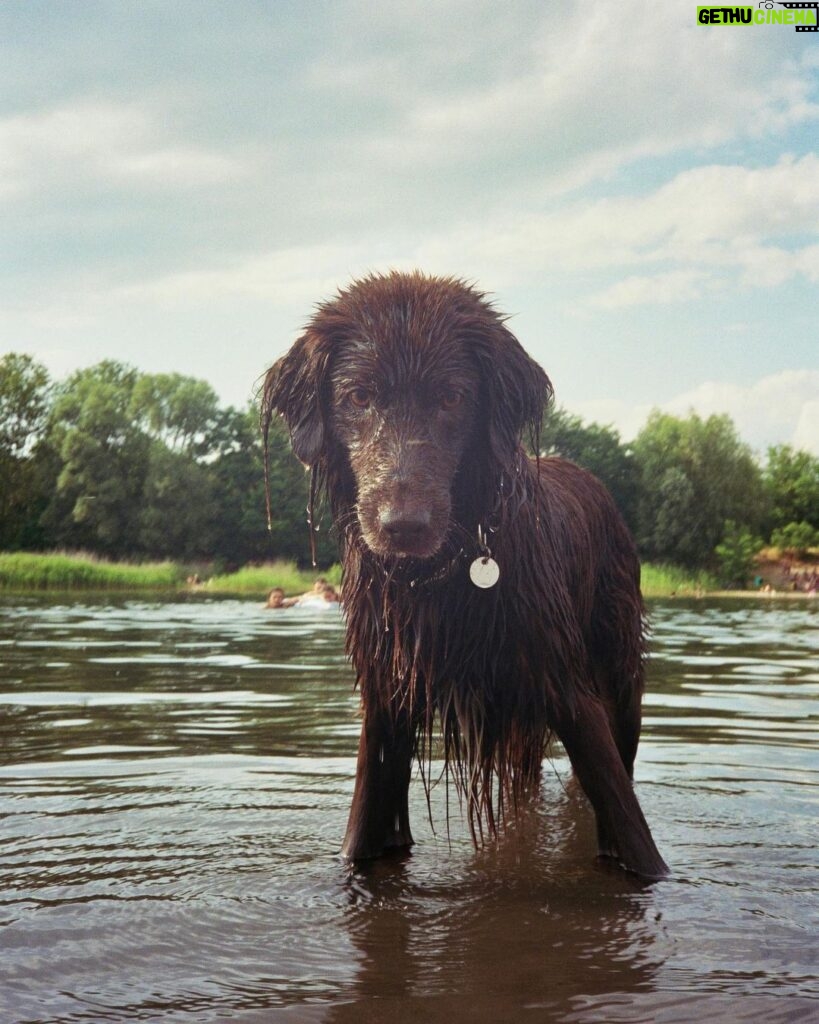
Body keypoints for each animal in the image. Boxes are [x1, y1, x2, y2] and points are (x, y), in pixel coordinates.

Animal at [259, 272, 667, 880]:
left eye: (452, 398)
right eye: (359, 397)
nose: (403, 526)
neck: (438, 581)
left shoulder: (565, 683)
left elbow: (630, 828)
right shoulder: (386, 693)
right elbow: (363, 833)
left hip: (617, 667)